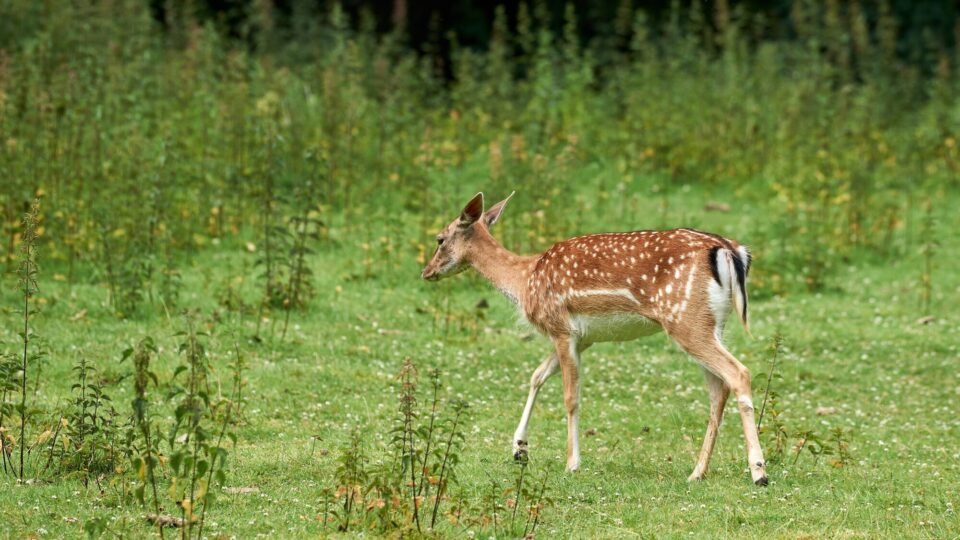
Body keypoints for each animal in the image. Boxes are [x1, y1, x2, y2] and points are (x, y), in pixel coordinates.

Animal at [421, 192, 768, 486]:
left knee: (739, 373)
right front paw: (519, 449)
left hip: (685, 319)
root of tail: (730, 250)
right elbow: (536, 376)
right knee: (719, 390)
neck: (524, 280)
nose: (426, 272)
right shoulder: (582, 338)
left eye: (439, 239)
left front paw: (571, 463)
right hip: (711, 323)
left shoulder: (561, 328)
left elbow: (570, 397)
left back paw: (758, 472)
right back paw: (697, 472)